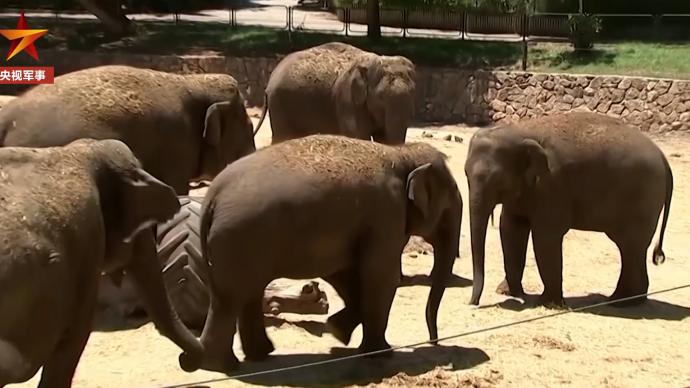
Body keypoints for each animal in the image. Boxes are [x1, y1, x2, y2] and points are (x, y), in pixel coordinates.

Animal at [177, 134, 462, 372]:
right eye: (450, 203)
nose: (435, 342)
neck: (401, 153)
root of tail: (212, 196)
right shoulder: (387, 213)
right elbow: (380, 277)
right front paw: (381, 353)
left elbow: (346, 274)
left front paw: (338, 331)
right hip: (239, 239)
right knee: (233, 297)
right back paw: (224, 365)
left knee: (240, 294)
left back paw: (256, 355)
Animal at [253, 42, 414, 146]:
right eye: (381, 97)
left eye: (413, 93)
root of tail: (271, 78)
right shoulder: (347, 100)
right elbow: (358, 136)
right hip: (279, 102)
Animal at [462, 110, 672, 308]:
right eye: (465, 173)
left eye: (498, 180)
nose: (472, 303)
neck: (520, 131)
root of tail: (664, 159)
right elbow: (510, 229)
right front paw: (507, 292)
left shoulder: (552, 183)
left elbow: (545, 236)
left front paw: (547, 303)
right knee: (630, 248)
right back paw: (622, 300)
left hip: (643, 200)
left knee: (631, 245)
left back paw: (622, 302)